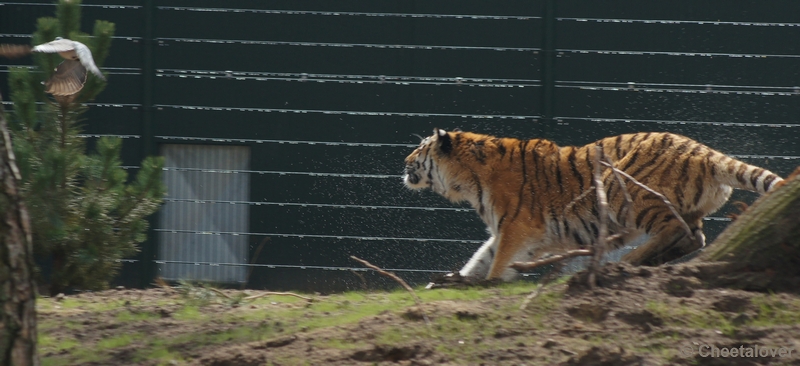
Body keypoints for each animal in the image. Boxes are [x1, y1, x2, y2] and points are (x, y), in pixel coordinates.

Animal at [404, 129, 784, 280]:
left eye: (420, 149)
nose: (404, 161)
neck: (467, 178)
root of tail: (706, 152)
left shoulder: (517, 228)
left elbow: (497, 264)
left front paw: (488, 283)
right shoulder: (511, 233)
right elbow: (481, 258)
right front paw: (455, 283)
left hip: (624, 190)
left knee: (679, 232)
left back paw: (628, 261)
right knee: (694, 236)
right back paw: (644, 261)